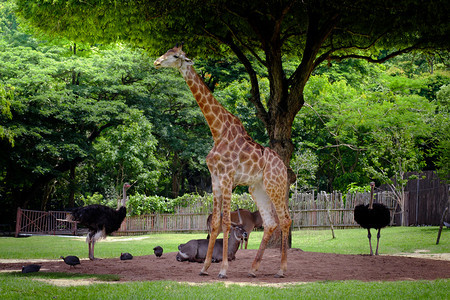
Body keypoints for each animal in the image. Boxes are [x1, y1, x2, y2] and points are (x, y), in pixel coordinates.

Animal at [153, 44, 290, 278]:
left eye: (176, 56)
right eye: (167, 51)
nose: (157, 62)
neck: (217, 131)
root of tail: (284, 167)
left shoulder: (227, 177)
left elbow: (226, 222)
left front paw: (224, 269)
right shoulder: (215, 178)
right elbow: (215, 223)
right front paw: (205, 267)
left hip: (276, 186)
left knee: (285, 220)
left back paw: (281, 270)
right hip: (257, 188)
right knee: (271, 223)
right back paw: (253, 269)